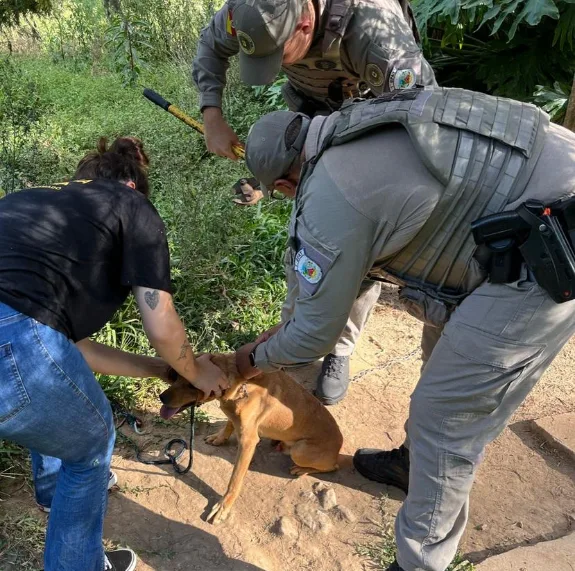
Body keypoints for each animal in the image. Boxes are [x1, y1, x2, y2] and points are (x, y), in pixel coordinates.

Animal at [159, 356, 342, 524]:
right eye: (177, 376)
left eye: (192, 385)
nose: (161, 397)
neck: (242, 385)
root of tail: (339, 447)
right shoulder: (234, 417)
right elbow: (229, 424)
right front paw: (219, 438)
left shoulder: (248, 442)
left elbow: (234, 481)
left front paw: (223, 507)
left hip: (299, 451)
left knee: (333, 467)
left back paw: (301, 469)